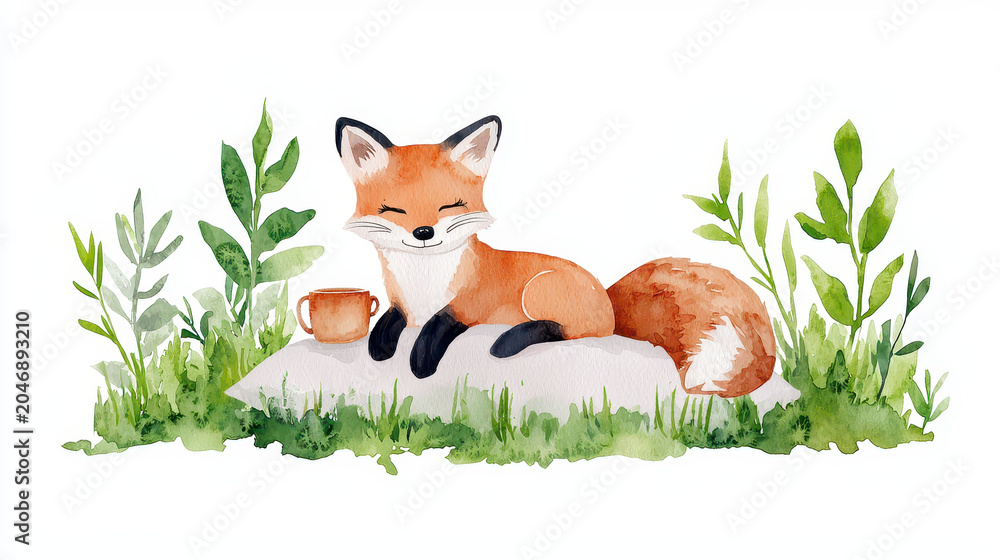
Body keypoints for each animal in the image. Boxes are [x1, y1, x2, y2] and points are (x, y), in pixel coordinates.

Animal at [336, 115, 776, 398]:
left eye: (450, 206)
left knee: (565, 330)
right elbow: (389, 319)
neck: (423, 279)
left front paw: (421, 359)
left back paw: (509, 342)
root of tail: (610, 299)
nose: (424, 233)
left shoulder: (473, 302)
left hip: (538, 290)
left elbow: (441, 322)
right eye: (393, 210)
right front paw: (380, 345)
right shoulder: (401, 304)